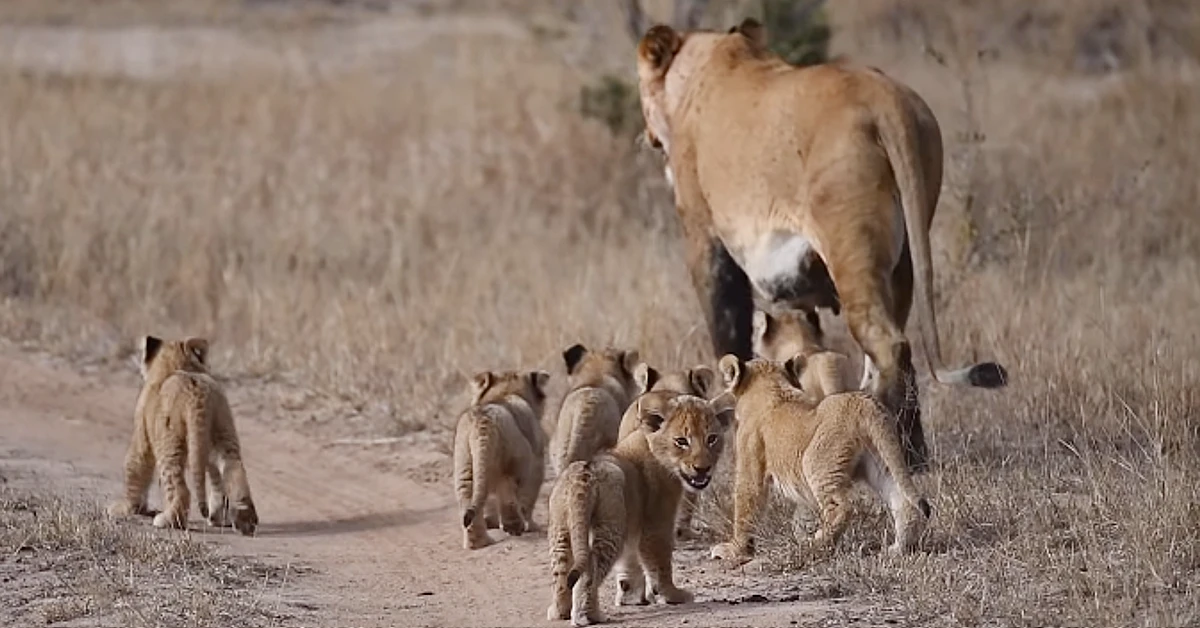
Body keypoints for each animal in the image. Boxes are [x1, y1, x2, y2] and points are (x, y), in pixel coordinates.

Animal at [107, 336, 258, 536]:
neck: (177, 365)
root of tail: (197, 393)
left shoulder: (142, 435)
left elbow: (135, 466)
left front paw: (124, 508)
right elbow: (216, 481)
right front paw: (217, 517)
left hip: (169, 442)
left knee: (180, 488)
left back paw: (168, 520)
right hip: (224, 433)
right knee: (234, 470)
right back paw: (245, 521)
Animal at [453, 368, 551, 550]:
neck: (505, 391)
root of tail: (483, 421)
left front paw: (491, 522)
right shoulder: (537, 460)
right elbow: (528, 496)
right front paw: (531, 526)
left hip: (464, 463)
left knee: (469, 495)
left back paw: (479, 543)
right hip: (518, 457)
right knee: (506, 484)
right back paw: (514, 527)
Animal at [546, 391, 735, 626]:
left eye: (712, 438)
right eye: (681, 441)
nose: (702, 469)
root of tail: (583, 474)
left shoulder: (634, 526)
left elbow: (630, 563)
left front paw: (631, 598)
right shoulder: (656, 525)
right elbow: (660, 563)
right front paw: (672, 595)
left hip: (561, 530)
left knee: (562, 573)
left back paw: (560, 610)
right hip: (610, 528)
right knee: (590, 572)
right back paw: (587, 615)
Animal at [634, 18, 1009, 472]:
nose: (646, 135)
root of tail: (883, 98)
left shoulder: (704, 236)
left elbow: (727, 331)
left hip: (848, 243)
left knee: (887, 344)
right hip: (902, 259)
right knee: (896, 346)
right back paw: (913, 452)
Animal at [709, 354, 931, 564]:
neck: (769, 385)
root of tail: (862, 401)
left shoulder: (751, 463)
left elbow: (746, 503)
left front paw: (735, 550)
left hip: (815, 462)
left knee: (841, 508)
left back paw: (813, 546)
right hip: (881, 462)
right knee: (903, 501)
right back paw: (898, 549)